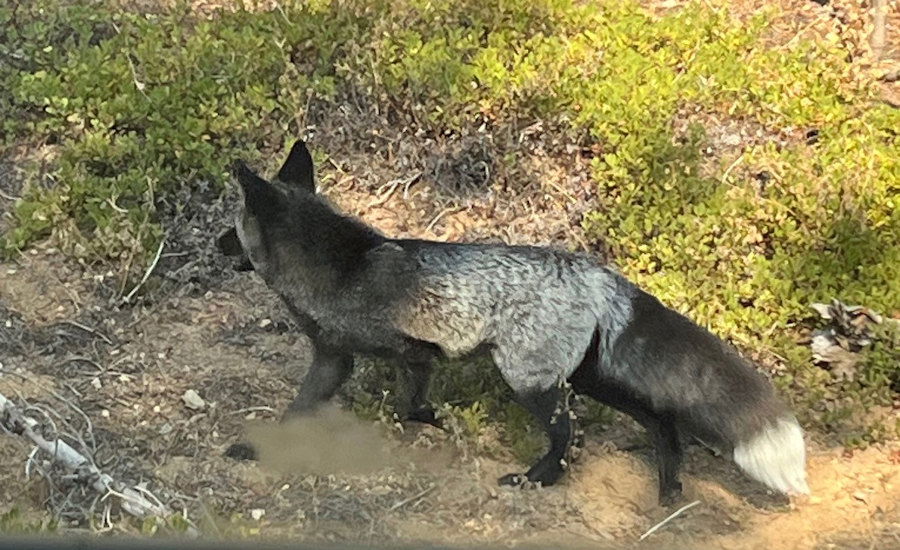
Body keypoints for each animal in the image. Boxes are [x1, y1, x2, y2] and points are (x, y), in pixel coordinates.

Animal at [216, 138, 808, 504]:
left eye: (233, 225)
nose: (215, 245)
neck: (335, 267)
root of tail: (596, 272)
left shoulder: (337, 359)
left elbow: (296, 409)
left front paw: (255, 447)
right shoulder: (416, 356)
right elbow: (414, 401)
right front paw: (430, 422)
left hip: (532, 383)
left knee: (568, 435)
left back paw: (538, 480)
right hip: (587, 378)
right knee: (660, 419)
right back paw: (667, 487)